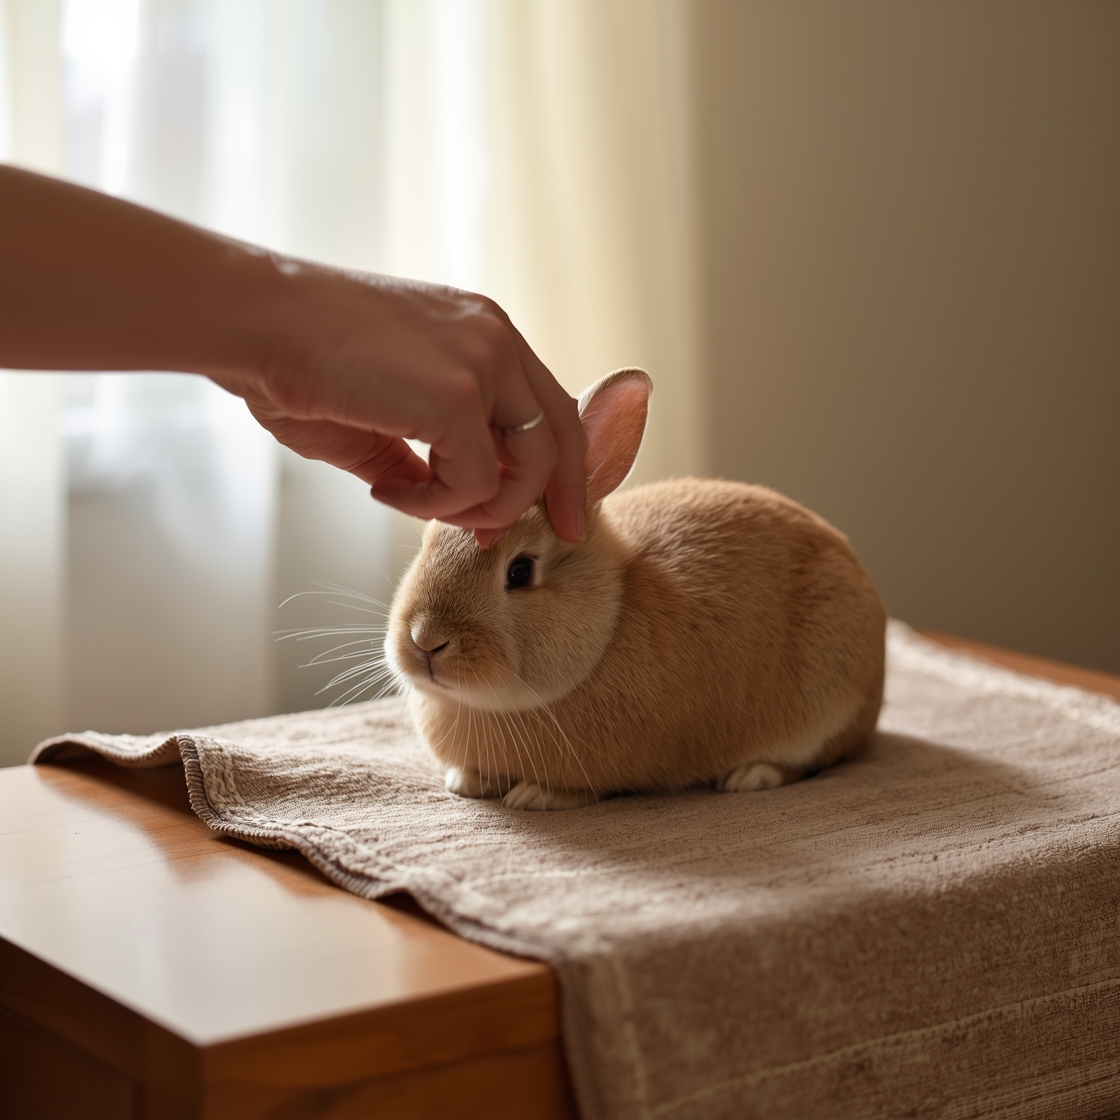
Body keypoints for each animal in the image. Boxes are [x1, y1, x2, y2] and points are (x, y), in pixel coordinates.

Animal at [386, 368, 886, 811]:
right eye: (428, 541)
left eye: (520, 572)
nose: (426, 641)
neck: (607, 623)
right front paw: (466, 782)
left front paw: (533, 796)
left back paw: (750, 776)